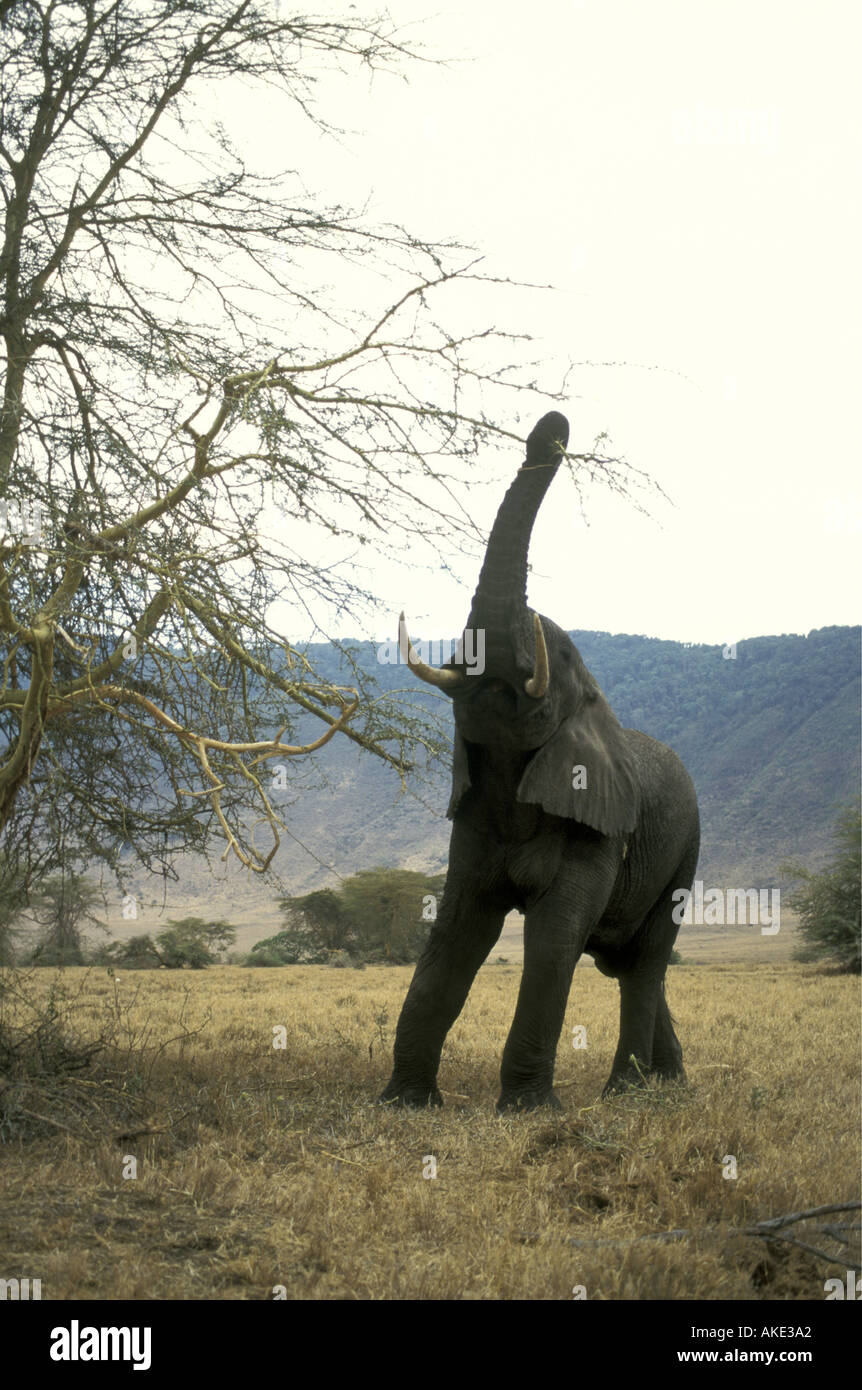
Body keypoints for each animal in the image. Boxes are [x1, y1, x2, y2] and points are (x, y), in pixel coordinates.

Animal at [380, 405, 697, 1112]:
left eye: (561, 657)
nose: (553, 425)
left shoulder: (595, 828)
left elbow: (553, 938)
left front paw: (525, 1111)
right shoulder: (472, 816)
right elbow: (457, 930)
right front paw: (404, 1104)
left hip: (686, 851)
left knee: (647, 959)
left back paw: (626, 1096)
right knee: (625, 960)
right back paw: (668, 1087)